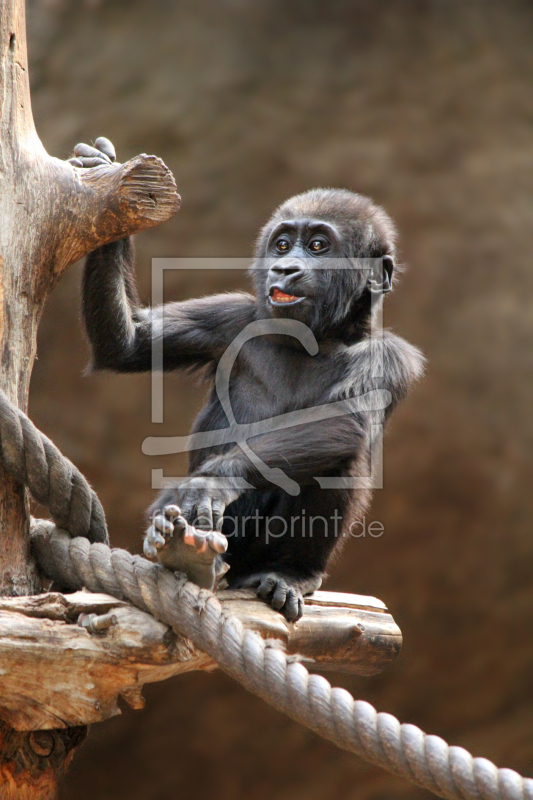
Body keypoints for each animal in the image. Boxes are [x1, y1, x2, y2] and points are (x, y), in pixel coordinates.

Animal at [74, 139, 424, 624]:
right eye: (282, 244)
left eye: (318, 245)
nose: (286, 268)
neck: (316, 336)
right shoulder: (230, 317)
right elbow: (128, 343)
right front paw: (109, 182)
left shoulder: (393, 357)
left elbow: (343, 420)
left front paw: (213, 481)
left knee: (339, 457)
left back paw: (289, 572)